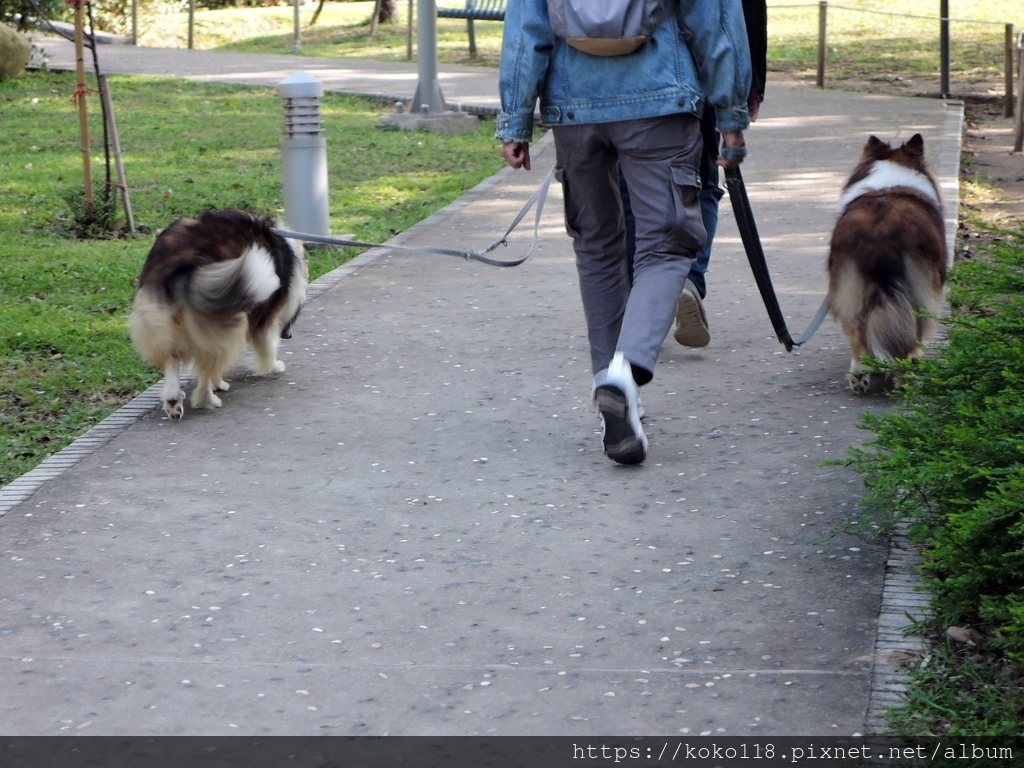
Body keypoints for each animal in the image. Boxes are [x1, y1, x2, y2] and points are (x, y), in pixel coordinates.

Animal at [127, 208, 305, 421]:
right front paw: (273, 366)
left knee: (172, 360)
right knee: (207, 366)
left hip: (164, 324)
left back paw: (173, 401)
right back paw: (207, 400)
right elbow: (268, 345)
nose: (289, 335)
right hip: (223, 323)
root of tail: (183, 260)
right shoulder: (266, 318)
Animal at [827, 134, 946, 393]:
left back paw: (859, 376)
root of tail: (879, 229)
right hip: (923, 291)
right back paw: (905, 378)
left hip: (848, 288)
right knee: (911, 331)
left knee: (858, 331)